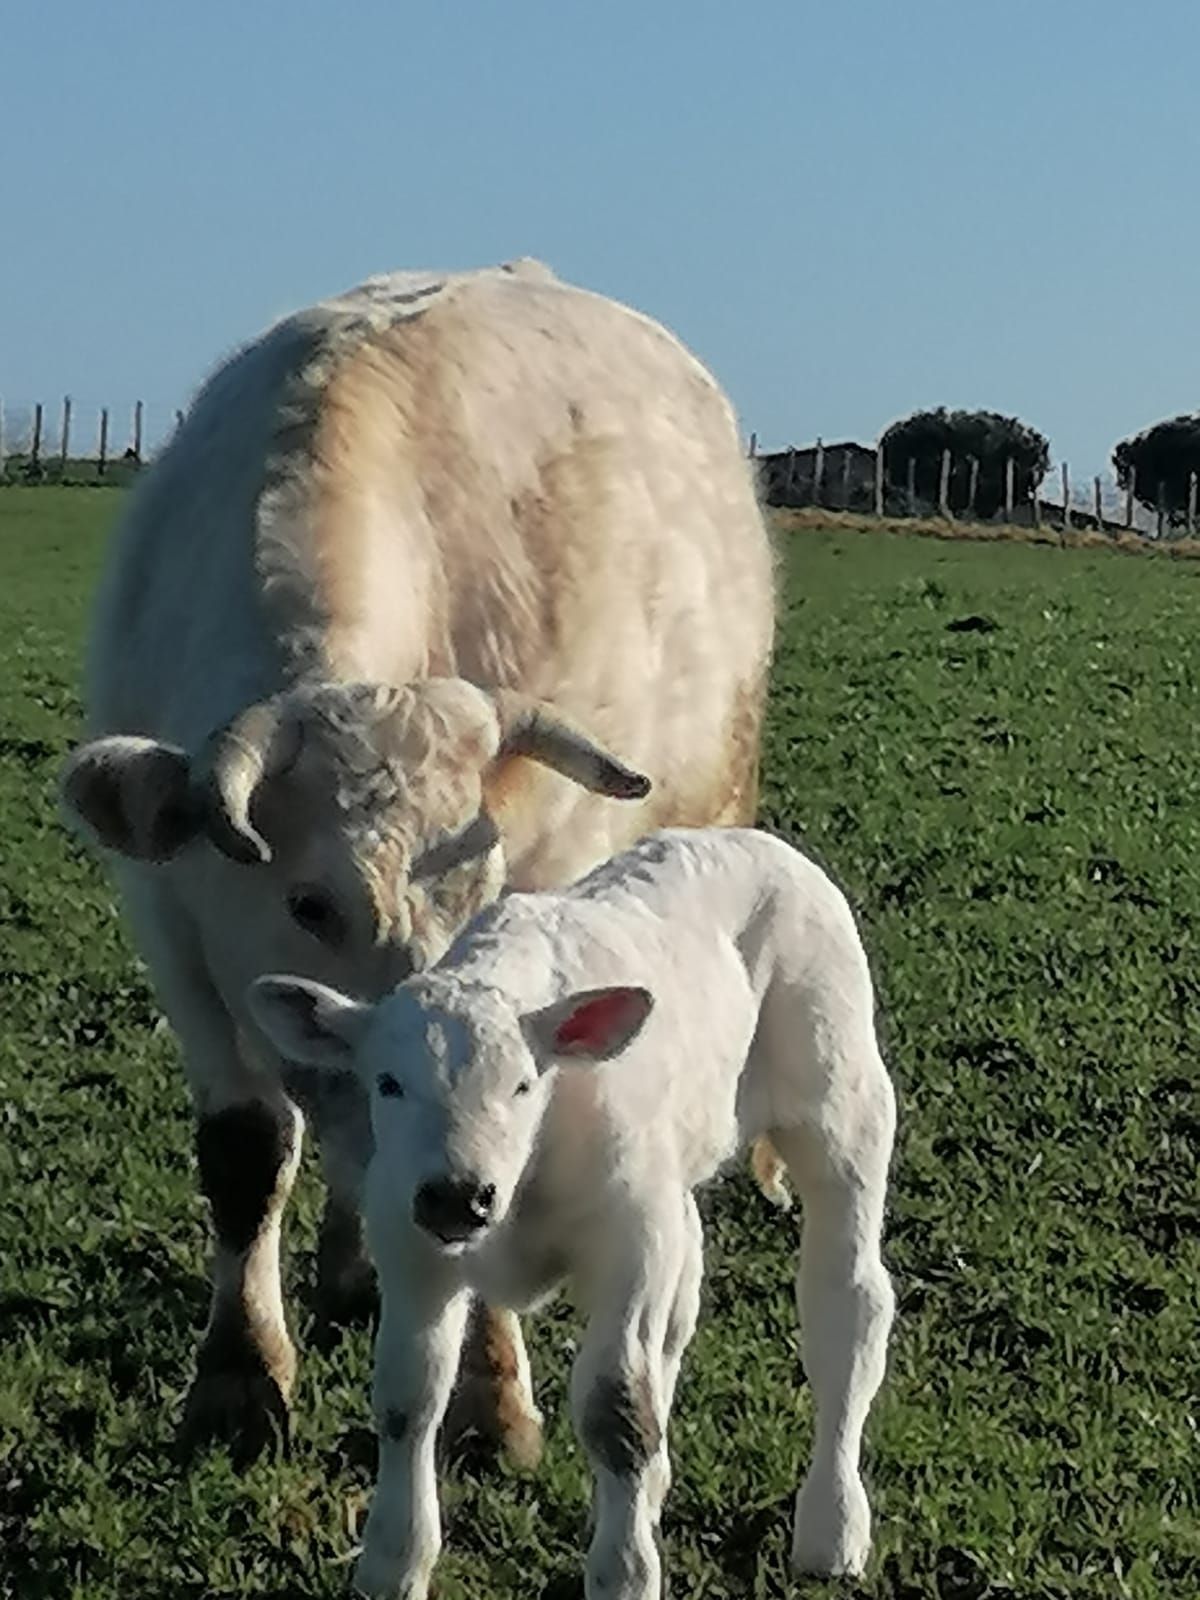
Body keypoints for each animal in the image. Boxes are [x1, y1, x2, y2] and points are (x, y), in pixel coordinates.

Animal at [60, 258, 775, 1468]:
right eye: (308, 902)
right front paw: (239, 1379)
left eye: (480, 901)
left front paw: (493, 1395)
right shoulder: (173, 930)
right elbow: (248, 1153)